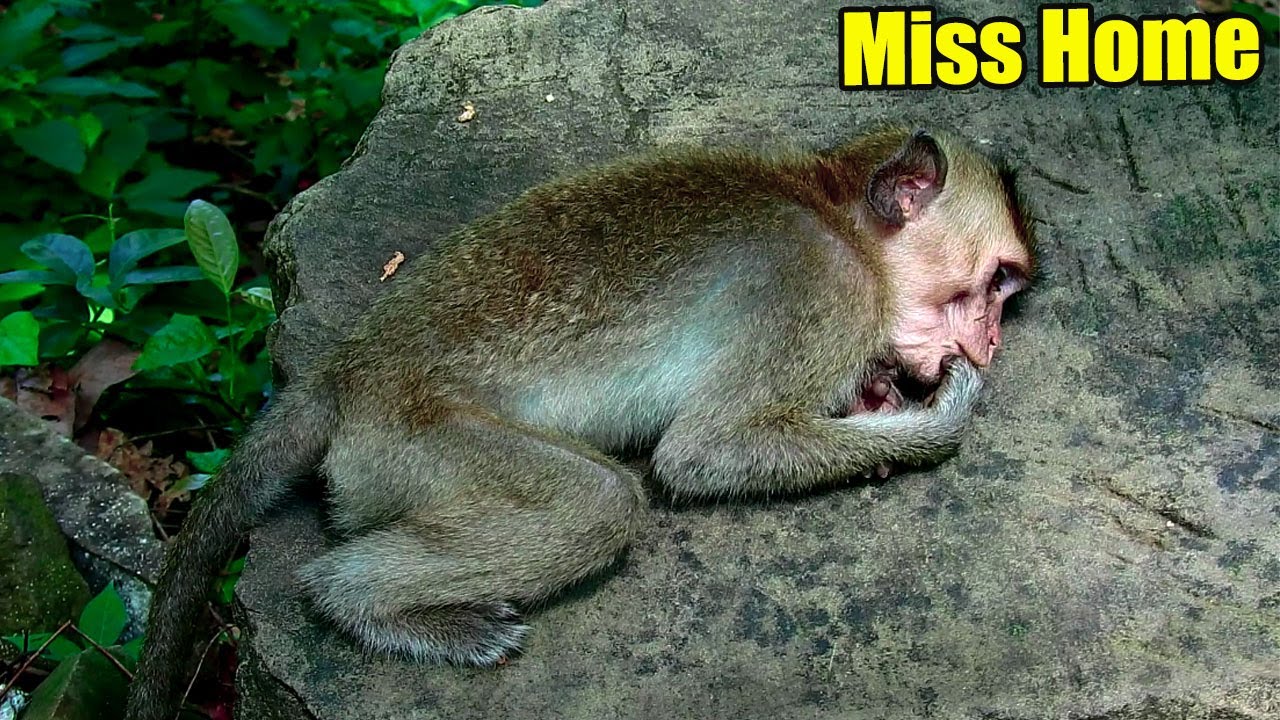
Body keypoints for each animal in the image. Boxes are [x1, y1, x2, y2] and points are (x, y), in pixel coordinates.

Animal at [125, 126, 1034, 720]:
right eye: (990, 283)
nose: (990, 344)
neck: (838, 215)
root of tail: (348, 370)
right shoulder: (821, 292)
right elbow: (705, 453)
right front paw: (940, 420)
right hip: (412, 441)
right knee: (597, 502)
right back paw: (365, 602)